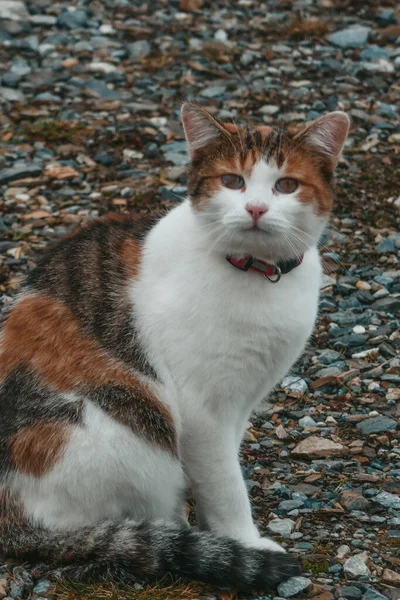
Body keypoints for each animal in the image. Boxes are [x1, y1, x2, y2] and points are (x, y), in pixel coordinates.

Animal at [0, 102, 348, 592]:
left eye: (286, 185)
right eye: (233, 181)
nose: (256, 208)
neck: (255, 275)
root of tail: (10, 515)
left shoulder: (240, 401)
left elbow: (217, 472)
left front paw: (218, 535)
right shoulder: (202, 409)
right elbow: (226, 484)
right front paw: (243, 543)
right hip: (125, 430)